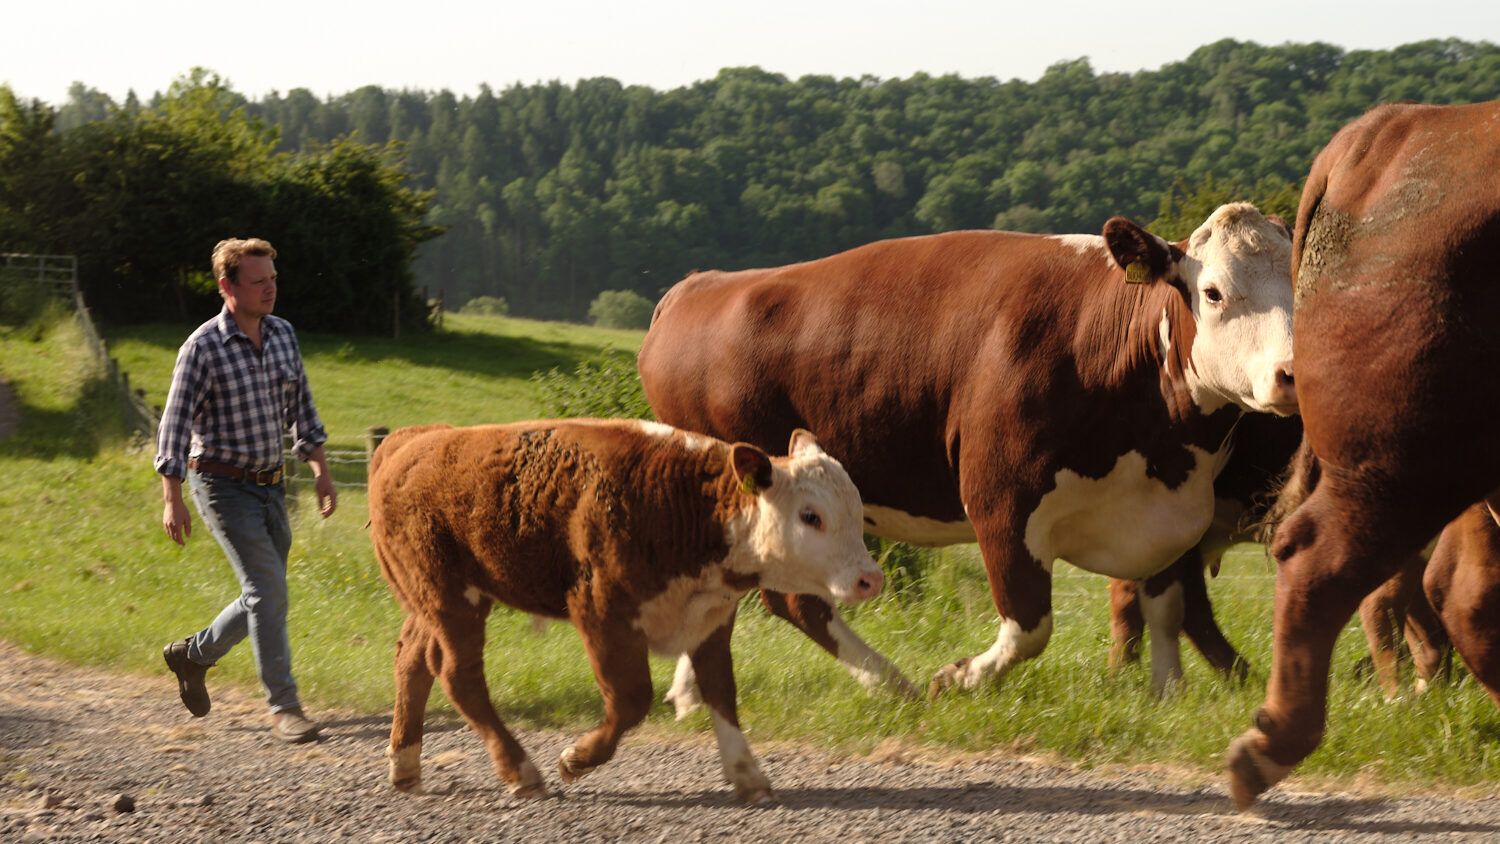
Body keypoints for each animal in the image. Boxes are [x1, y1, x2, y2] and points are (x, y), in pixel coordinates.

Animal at [366, 419, 876, 803]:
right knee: (458, 675)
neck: (687, 504)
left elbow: (721, 693)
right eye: (810, 515)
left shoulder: (710, 617)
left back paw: (405, 764)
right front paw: (577, 759)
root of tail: (410, 440)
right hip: (451, 599)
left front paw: (746, 772)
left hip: (430, 600)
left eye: (857, 509)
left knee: (412, 659)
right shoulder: (602, 611)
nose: (870, 578)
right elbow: (631, 699)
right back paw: (520, 771)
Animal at [639, 200, 1296, 704]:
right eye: (1213, 292)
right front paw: (956, 679)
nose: (1293, 373)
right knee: (794, 599)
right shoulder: (1000, 501)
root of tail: (700, 286)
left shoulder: (1170, 513)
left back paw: (690, 695)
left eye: (1301, 290)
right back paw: (890, 684)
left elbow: (1167, 608)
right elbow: (1030, 626)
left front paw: (1167, 694)